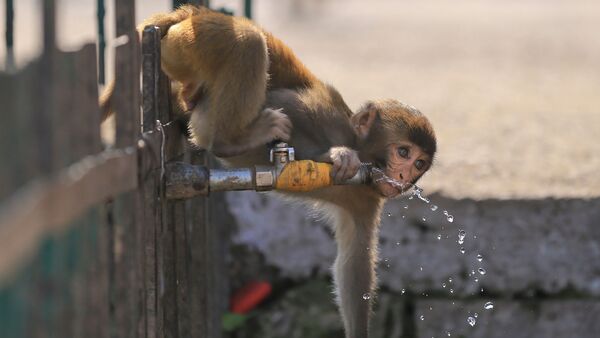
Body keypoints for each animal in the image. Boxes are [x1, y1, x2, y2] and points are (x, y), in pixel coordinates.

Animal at [99, 5, 436, 338]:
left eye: (419, 164)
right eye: (403, 153)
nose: (404, 178)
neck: (358, 143)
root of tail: (192, 12)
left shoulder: (367, 199)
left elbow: (354, 264)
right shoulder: (328, 116)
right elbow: (284, 101)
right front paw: (336, 155)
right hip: (193, 43)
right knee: (248, 43)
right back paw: (228, 140)